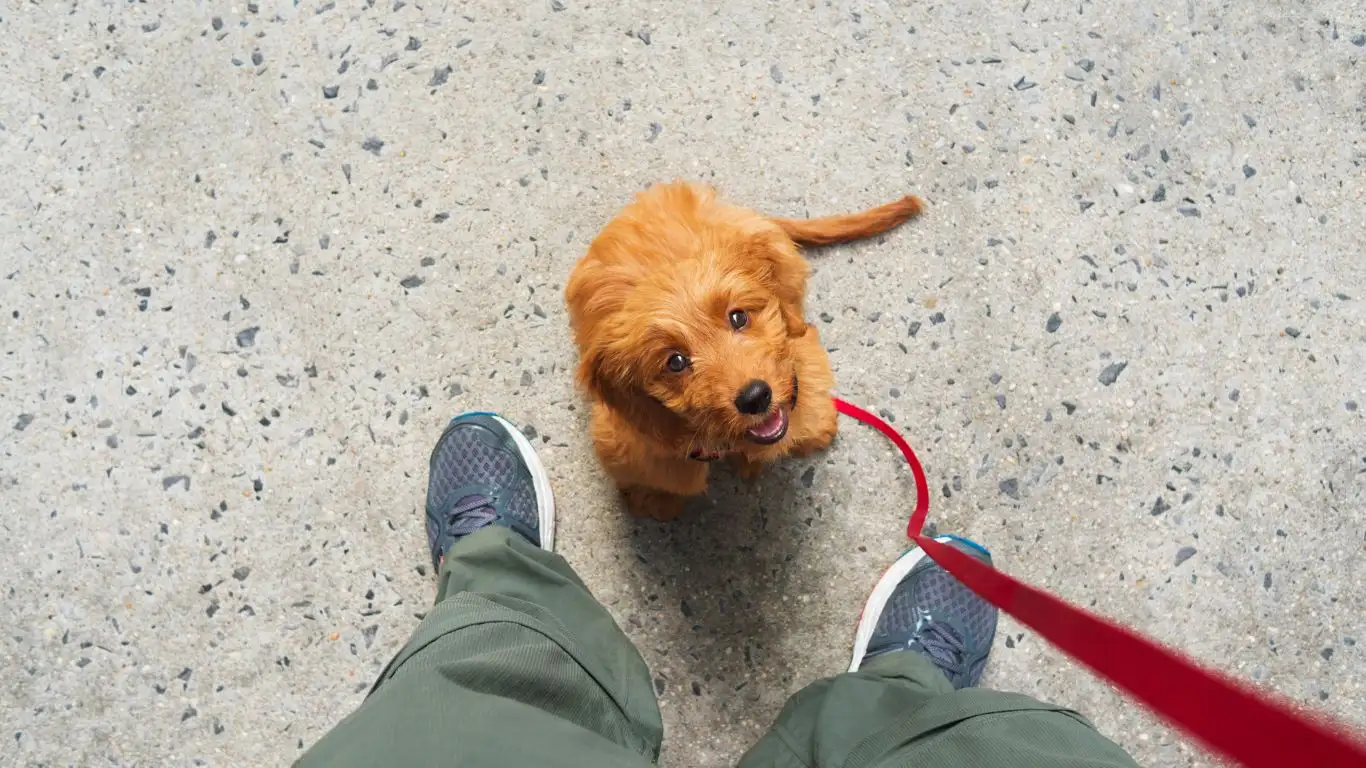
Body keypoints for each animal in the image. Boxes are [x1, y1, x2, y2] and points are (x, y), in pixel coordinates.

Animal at [560, 183, 923, 519]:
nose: (755, 397)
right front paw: (655, 498)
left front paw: (813, 428)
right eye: (675, 362)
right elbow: (663, 475)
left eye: (738, 317)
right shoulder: (632, 439)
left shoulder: (800, 358)